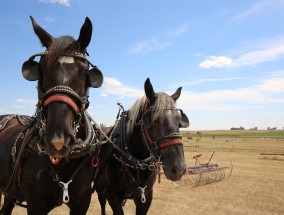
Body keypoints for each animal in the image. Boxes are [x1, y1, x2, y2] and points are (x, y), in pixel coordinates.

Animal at [95, 78, 189, 215]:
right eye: (155, 121)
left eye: (179, 121)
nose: (179, 168)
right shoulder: (111, 192)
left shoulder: (146, 195)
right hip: (99, 187)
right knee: (102, 203)